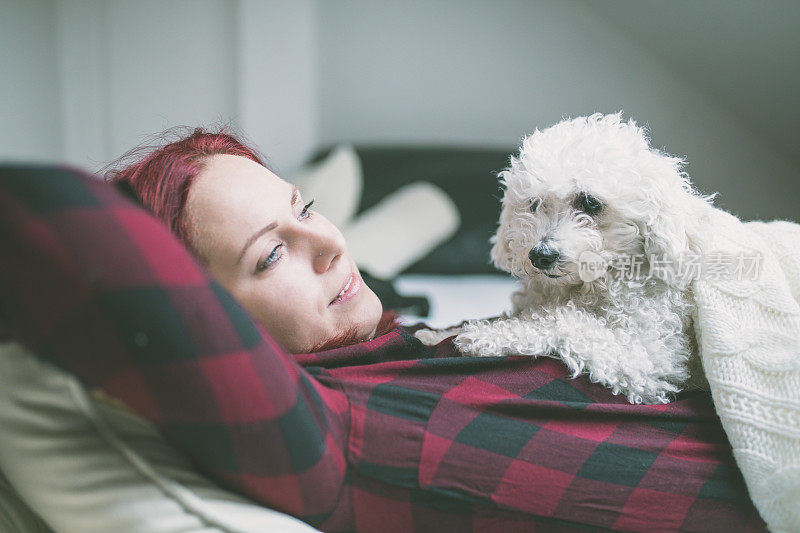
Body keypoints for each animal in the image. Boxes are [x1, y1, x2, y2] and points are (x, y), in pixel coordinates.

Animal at [418, 112, 712, 404]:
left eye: (590, 203)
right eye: (534, 204)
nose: (540, 256)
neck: (591, 285)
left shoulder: (651, 360)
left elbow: (562, 320)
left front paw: (485, 336)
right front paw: (436, 335)